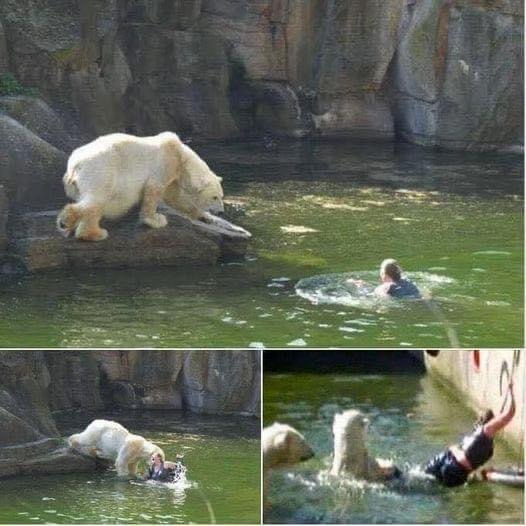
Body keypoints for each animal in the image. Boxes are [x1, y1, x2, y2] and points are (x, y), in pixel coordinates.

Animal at [56, 132, 225, 241]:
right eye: (214, 197)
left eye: (221, 196)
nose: (221, 212)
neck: (182, 157)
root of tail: (74, 165)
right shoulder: (166, 163)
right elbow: (154, 189)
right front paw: (155, 220)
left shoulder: (174, 174)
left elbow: (176, 198)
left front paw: (207, 217)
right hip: (100, 170)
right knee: (97, 200)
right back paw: (89, 230)